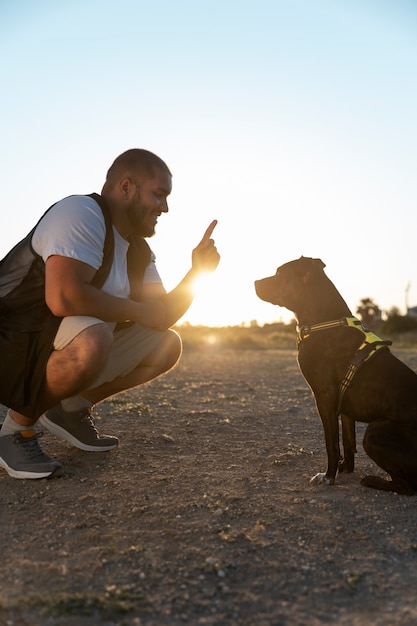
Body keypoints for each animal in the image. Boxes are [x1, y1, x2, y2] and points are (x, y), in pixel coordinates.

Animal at [254, 254, 417, 492]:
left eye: (279, 273)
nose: (255, 282)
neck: (324, 321)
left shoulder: (325, 396)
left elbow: (331, 442)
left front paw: (329, 476)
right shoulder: (344, 405)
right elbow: (347, 441)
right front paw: (345, 469)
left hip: (375, 431)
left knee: (407, 486)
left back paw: (373, 480)